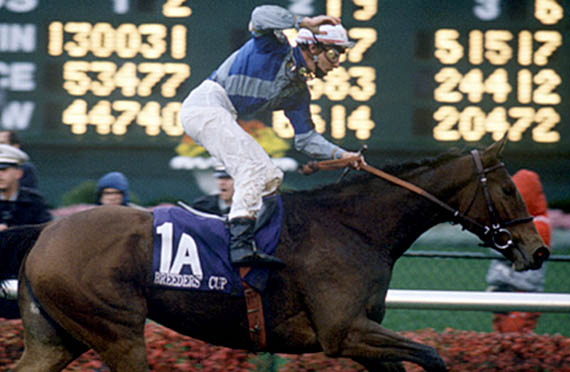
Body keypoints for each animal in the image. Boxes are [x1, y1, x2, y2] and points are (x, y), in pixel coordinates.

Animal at [3, 138, 544, 370]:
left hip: (58, 337)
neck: (355, 228)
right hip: (117, 332)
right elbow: (432, 356)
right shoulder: (343, 332)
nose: (537, 251)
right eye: (509, 190)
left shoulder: (360, 338)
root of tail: (47, 231)